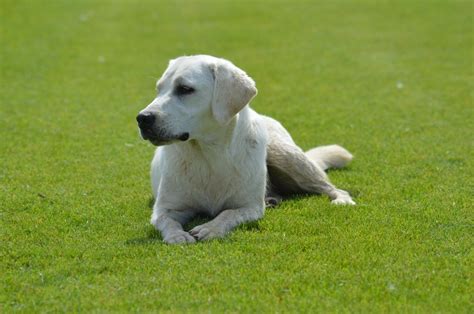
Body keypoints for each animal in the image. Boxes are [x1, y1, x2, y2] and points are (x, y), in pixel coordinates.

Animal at [135, 55, 354, 244]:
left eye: (185, 89)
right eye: (158, 89)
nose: (142, 118)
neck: (209, 154)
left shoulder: (250, 207)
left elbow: (228, 213)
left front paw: (210, 228)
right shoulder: (165, 209)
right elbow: (167, 221)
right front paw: (177, 236)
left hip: (285, 156)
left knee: (331, 187)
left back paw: (342, 200)